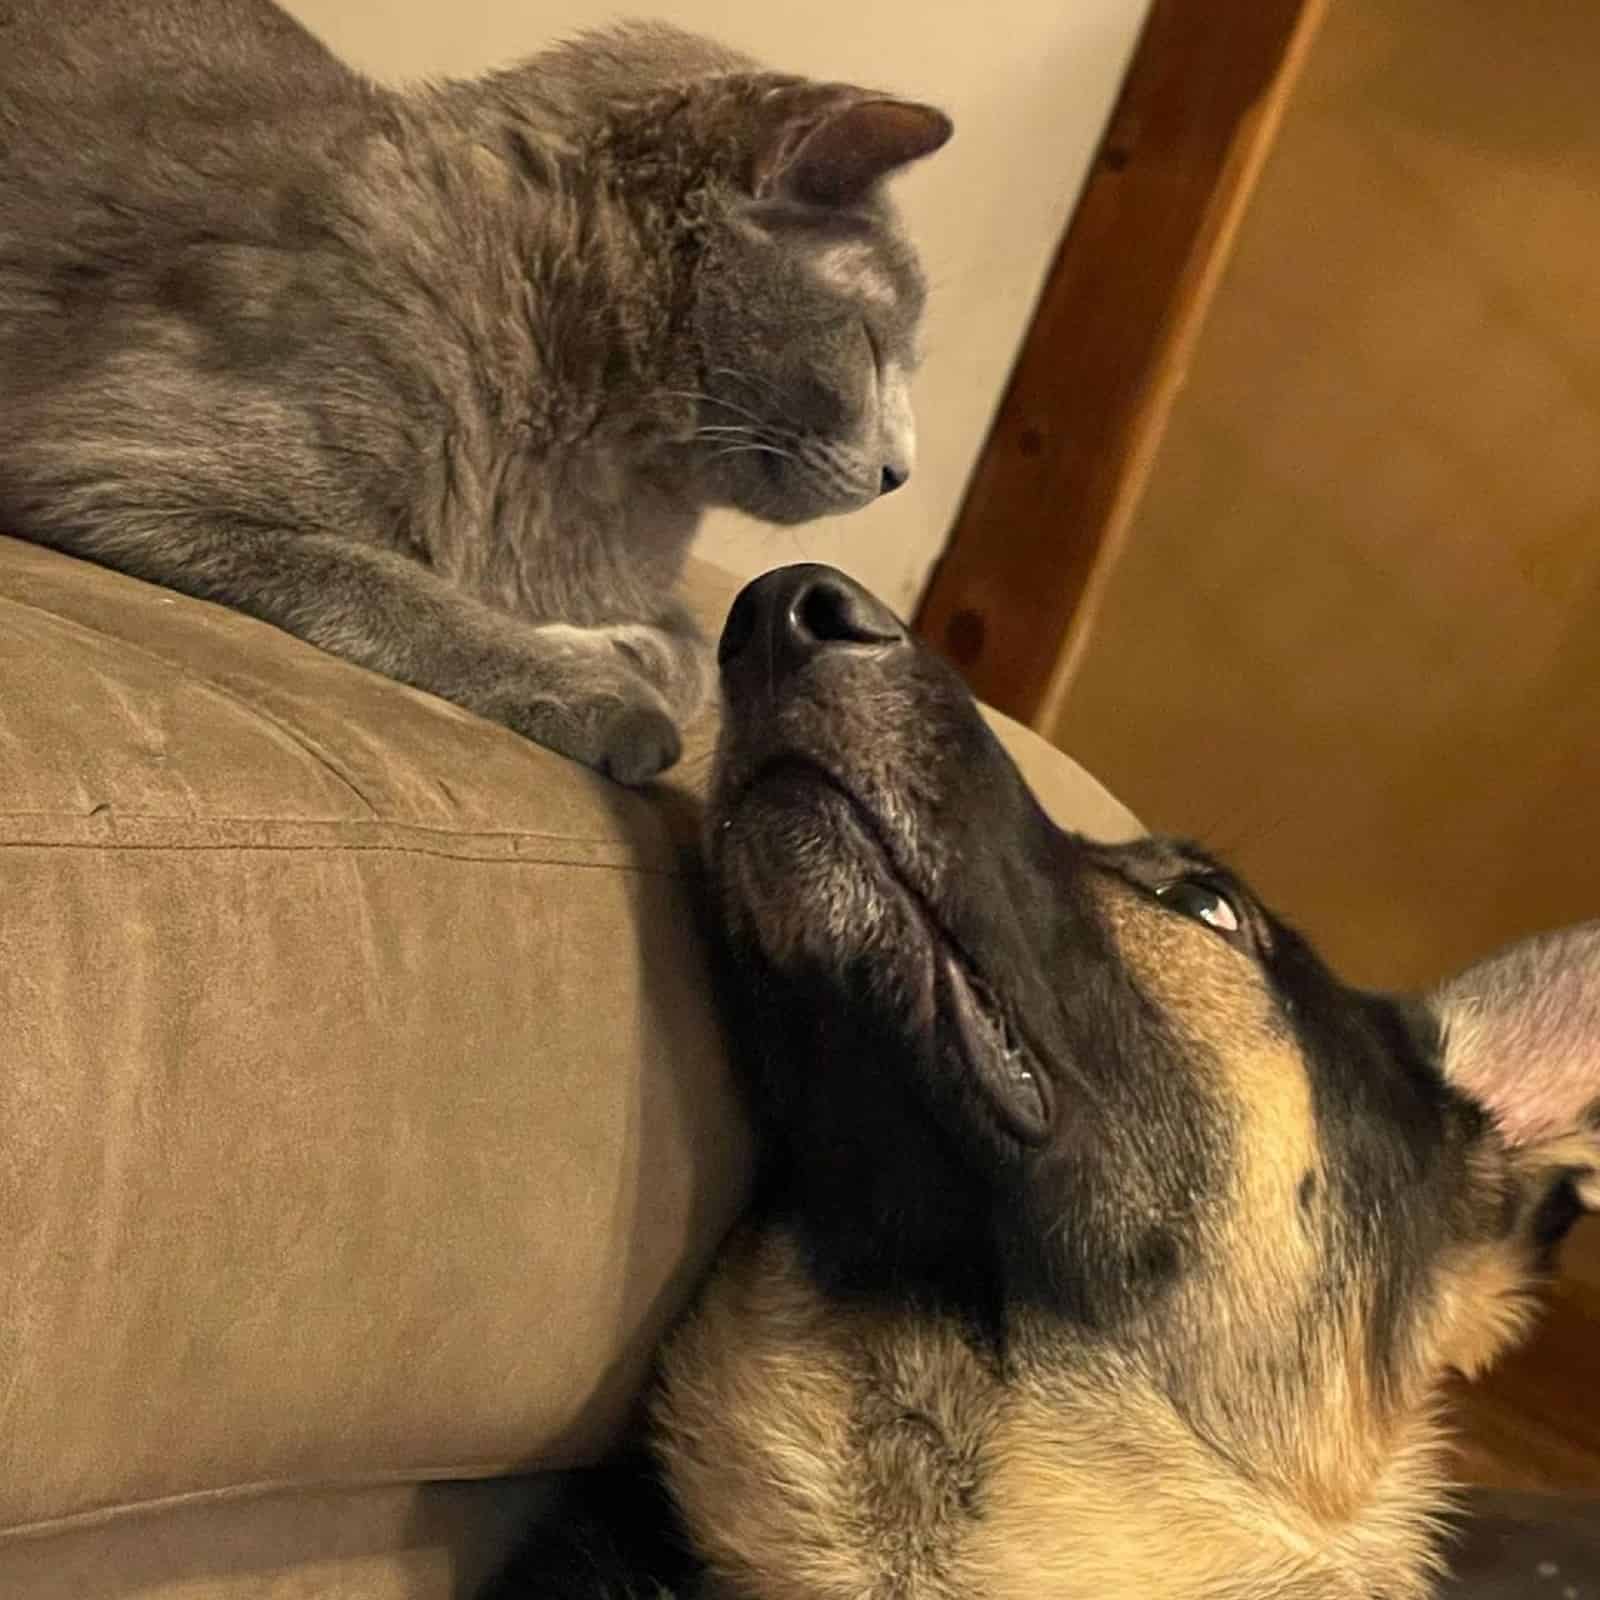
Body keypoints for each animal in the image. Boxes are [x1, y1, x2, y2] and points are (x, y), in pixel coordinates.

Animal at [0, 0, 947, 780]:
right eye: (871, 346)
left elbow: (696, 649)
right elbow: (392, 584)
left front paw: (618, 650)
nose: (901, 472)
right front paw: (601, 691)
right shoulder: (108, 466)